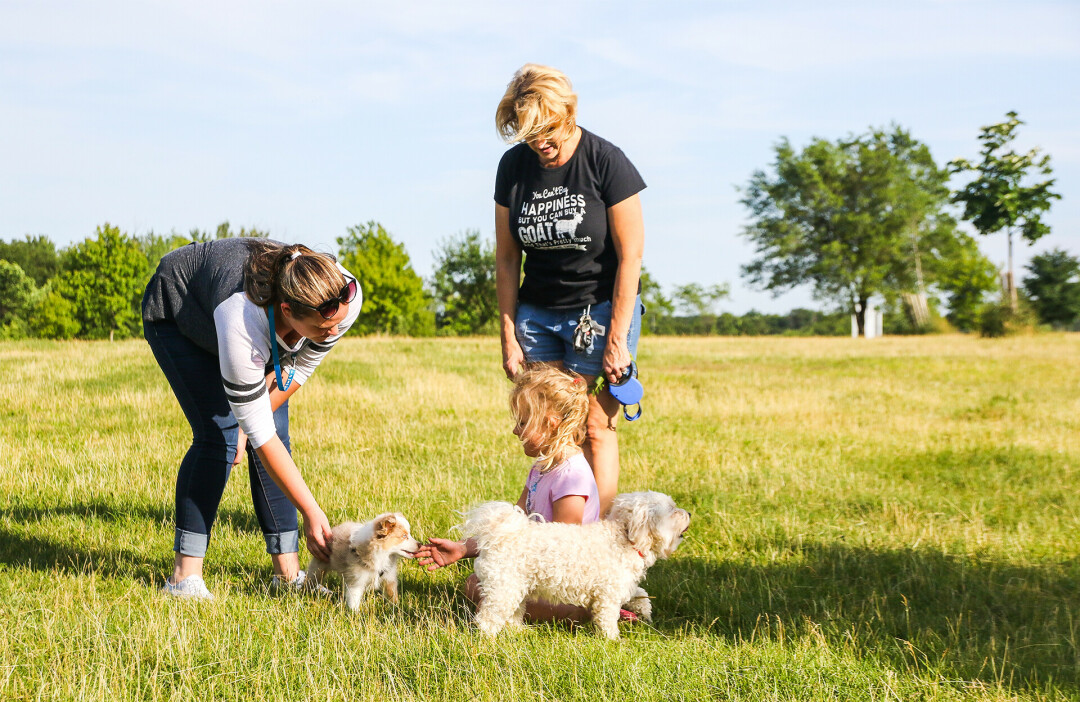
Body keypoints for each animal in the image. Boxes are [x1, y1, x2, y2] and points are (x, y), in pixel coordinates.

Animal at [460, 490, 686, 635]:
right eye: (673, 510)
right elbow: (607, 620)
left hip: (516, 588)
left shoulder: (622, 585)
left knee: (513, 614)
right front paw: (614, 641)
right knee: (488, 619)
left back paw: (520, 632)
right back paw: (488, 641)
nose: (689, 513)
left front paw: (644, 610)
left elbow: (641, 593)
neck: (625, 537)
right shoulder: (607, 596)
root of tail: (499, 535)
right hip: (502, 589)